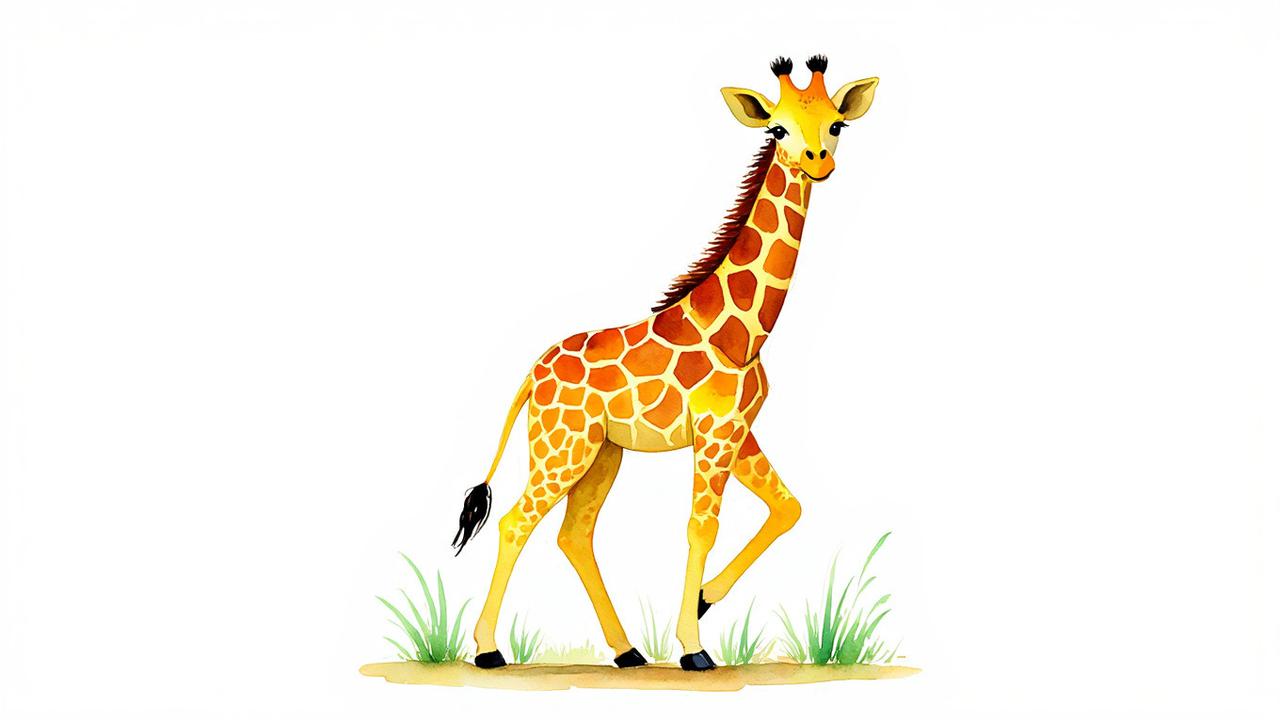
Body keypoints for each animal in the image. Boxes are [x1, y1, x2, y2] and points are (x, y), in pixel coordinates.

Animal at [450, 55, 878, 672]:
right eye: (777, 129)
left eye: (836, 124)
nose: (818, 159)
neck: (743, 333)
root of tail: (533, 373)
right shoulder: (715, 432)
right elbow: (702, 528)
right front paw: (694, 648)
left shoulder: (738, 431)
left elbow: (788, 508)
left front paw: (702, 602)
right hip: (562, 448)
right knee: (515, 521)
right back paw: (488, 651)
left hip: (601, 454)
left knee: (573, 534)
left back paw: (627, 650)